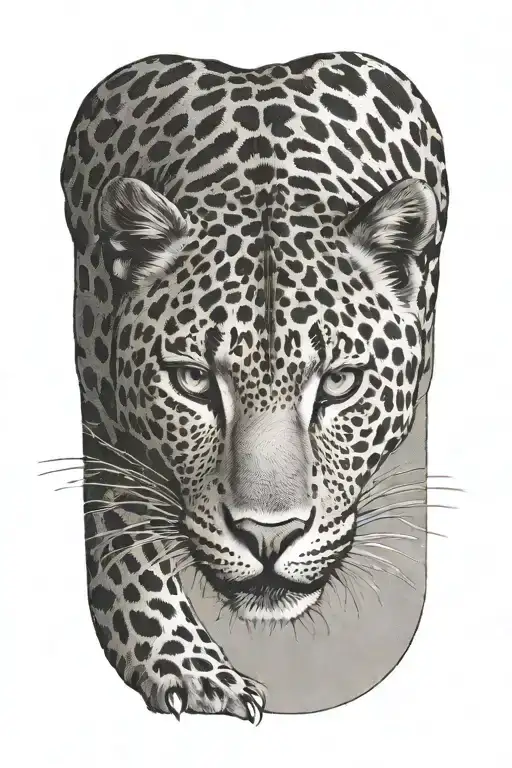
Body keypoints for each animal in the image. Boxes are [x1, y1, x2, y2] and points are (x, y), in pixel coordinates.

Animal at [60, 50, 448, 723]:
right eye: (193, 380)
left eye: (339, 383)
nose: (270, 536)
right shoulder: (105, 428)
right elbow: (125, 541)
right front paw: (189, 668)